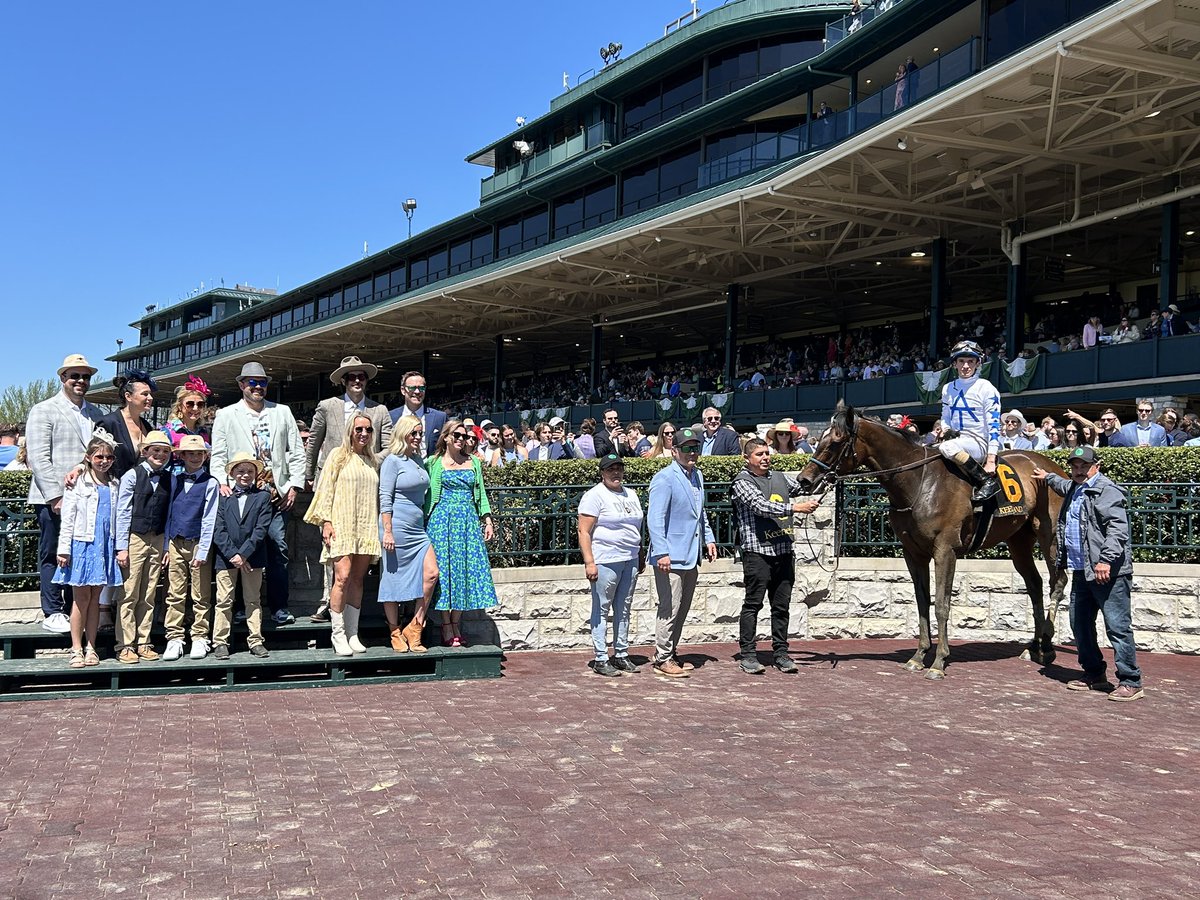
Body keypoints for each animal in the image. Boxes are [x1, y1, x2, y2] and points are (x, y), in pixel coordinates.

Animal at [801, 405, 1065, 681]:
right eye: (821, 439)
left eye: (835, 442)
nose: (804, 480)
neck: (919, 481)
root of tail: (1051, 467)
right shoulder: (913, 553)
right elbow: (921, 602)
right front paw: (918, 657)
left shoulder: (945, 551)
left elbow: (941, 604)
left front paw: (939, 661)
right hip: (1018, 540)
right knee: (1034, 584)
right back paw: (1033, 647)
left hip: (1049, 537)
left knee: (1058, 581)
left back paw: (1047, 646)